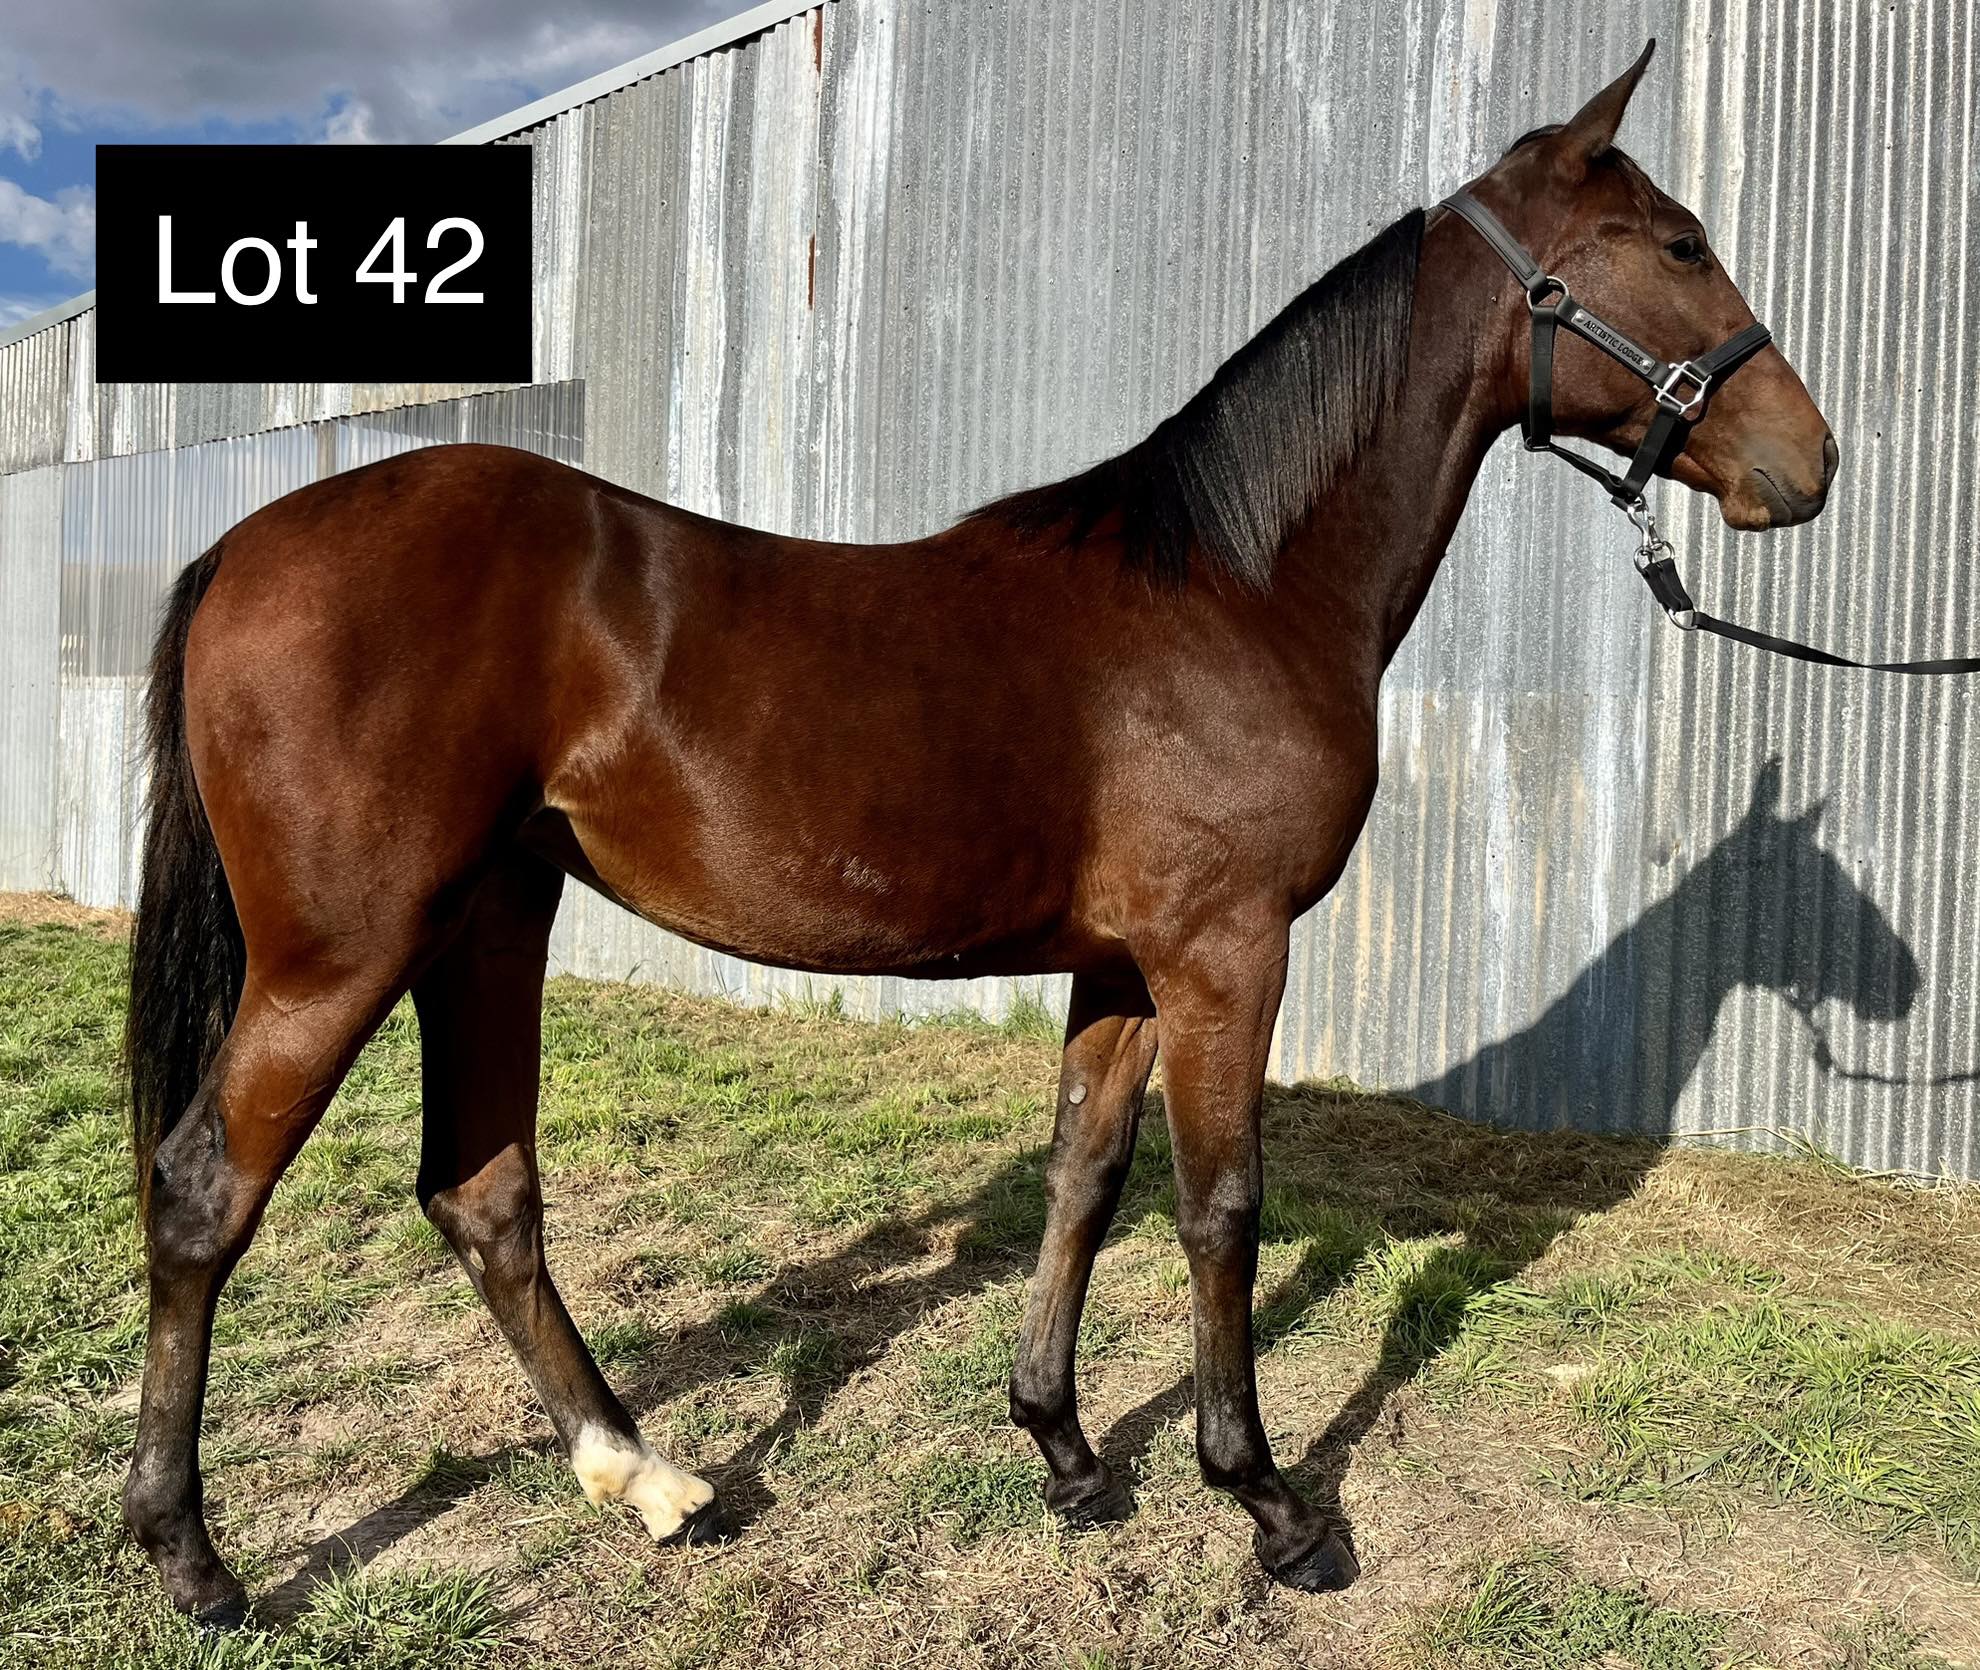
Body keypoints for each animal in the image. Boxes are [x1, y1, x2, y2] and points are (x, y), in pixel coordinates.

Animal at [121, 39, 1835, 1622]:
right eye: (1680, 242)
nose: (1806, 462)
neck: (1238, 588)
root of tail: (245, 544)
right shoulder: (1226, 954)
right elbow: (1223, 1207)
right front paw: (1272, 1505)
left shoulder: (1126, 967)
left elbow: (1084, 1180)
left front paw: (1066, 1452)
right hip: (344, 951)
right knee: (207, 1190)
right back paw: (193, 1553)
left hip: (490, 921)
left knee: (482, 1193)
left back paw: (649, 1476)